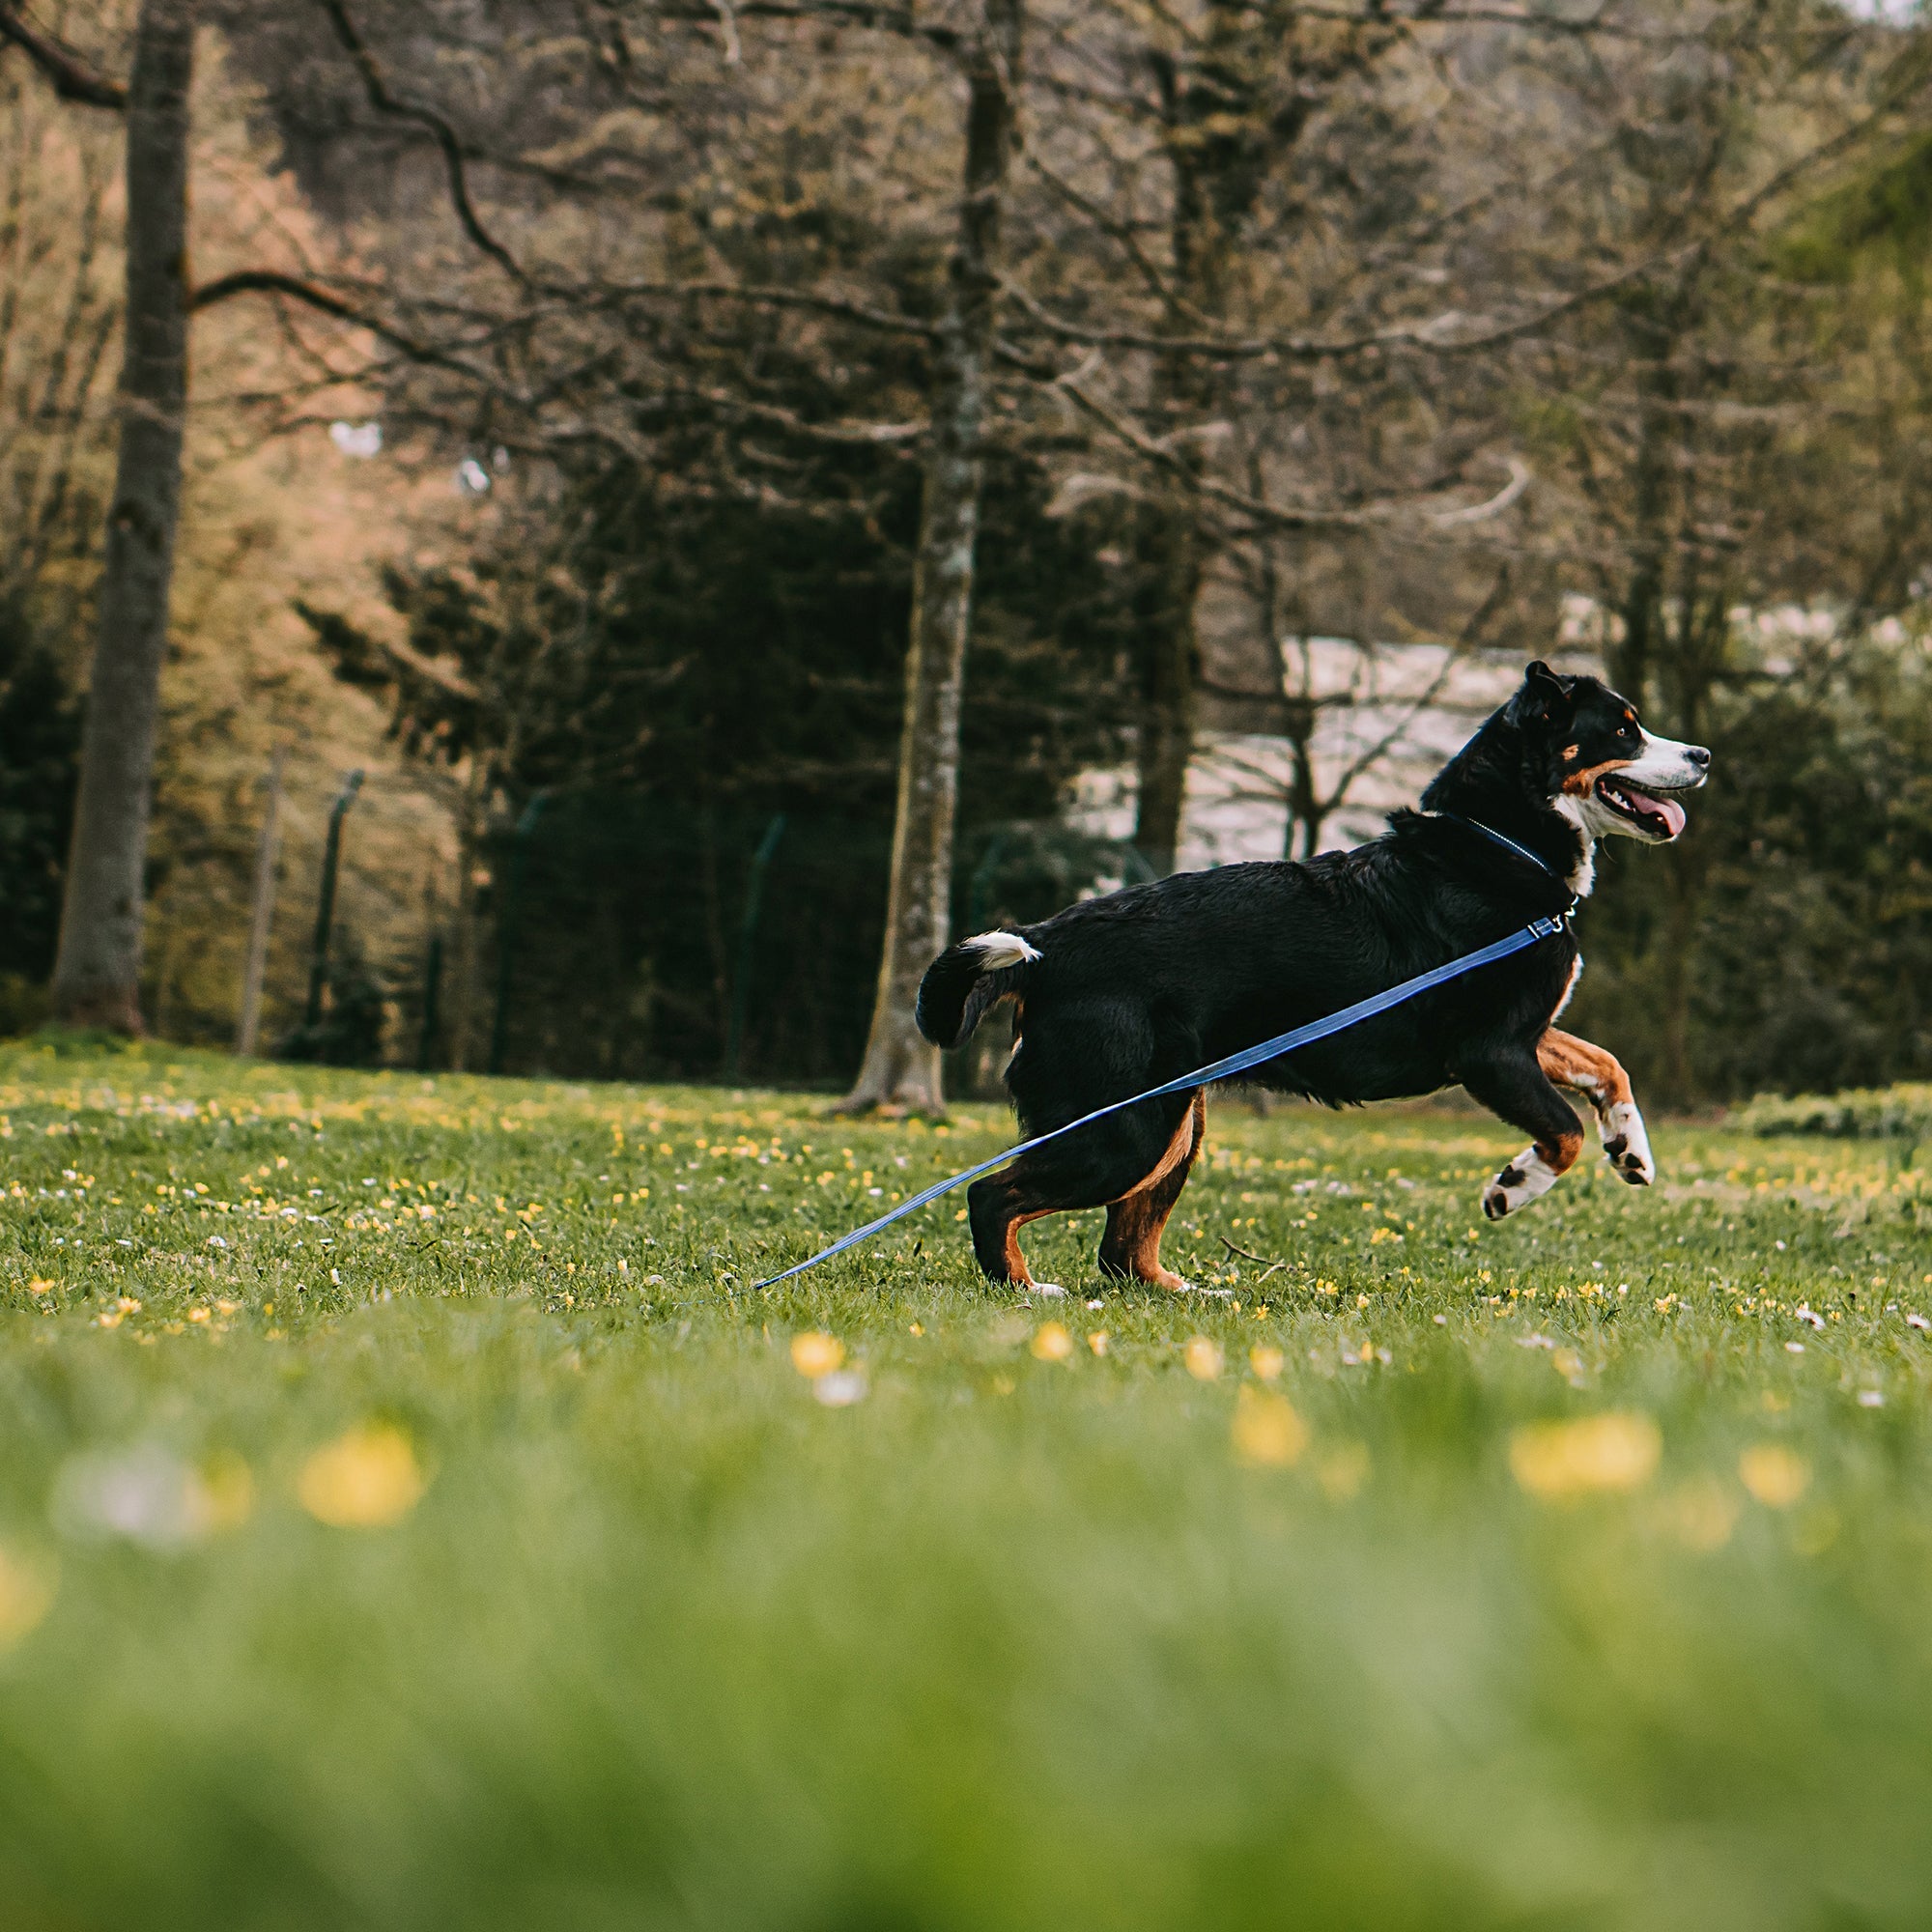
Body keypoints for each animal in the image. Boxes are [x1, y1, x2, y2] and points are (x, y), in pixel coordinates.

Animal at [916, 657, 1708, 1291]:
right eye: (1624, 731)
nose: (1702, 753)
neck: (1499, 846)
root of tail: (1045, 942)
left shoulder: (1528, 1035)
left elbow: (1606, 1066)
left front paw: (1630, 1149)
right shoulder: (1490, 1052)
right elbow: (1564, 1132)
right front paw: (1513, 1187)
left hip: (1170, 1122)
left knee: (1123, 1254)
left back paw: (1191, 1293)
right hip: (1122, 1129)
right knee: (992, 1199)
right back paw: (1026, 1290)